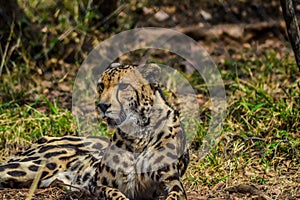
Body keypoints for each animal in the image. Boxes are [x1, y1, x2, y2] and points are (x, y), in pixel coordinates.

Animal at [0, 63, 190, 199]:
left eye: (124, 86)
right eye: (101, 86)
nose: (103, 106)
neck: (138, 133)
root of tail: (46, 138)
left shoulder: (172, 183)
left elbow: (173, 196)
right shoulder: (97, 184)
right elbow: (116, 194)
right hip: (32, 166)